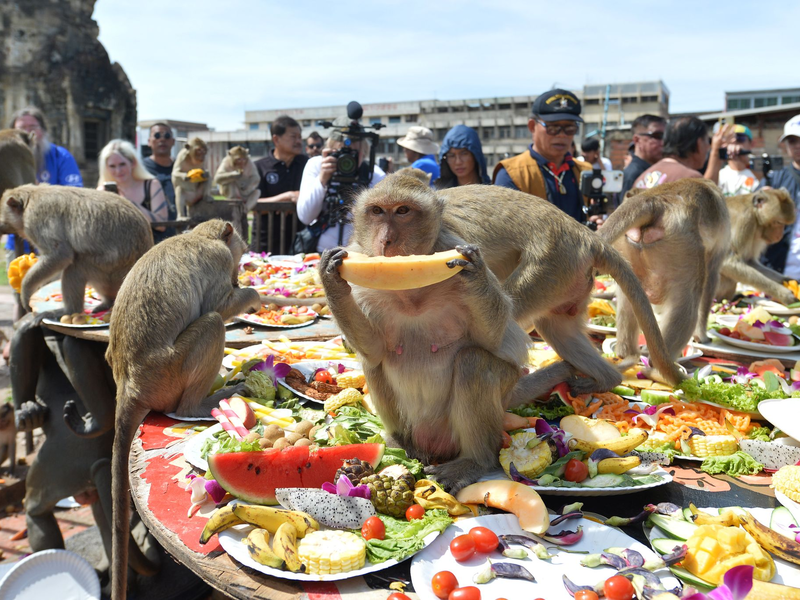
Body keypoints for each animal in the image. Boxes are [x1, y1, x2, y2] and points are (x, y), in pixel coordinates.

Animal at [0, 184, 154, 316]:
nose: (1, 228)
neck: (31, 197)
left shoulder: (35, 219)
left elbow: (60, 255)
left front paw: (25, 290)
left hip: (112, 270)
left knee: (77, 266)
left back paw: (69, 311)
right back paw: (108, 302)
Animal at [101, 219, 260, 600]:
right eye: (238, 258)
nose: (239, 275)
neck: (197, 235)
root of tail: (128, 385)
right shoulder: (218, 261)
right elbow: (221, 304)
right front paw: (253, 295)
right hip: (170, 375)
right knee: (214, 321)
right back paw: (200, 403)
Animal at [319, 170, 683, 492]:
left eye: (403, 211)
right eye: (377, 211)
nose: (387, 240)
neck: (411, 290)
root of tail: (585, 233)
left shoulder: (452, 244)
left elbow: (496, 342)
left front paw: (475, 273)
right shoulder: (364, 271)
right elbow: (374, 348)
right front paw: (330, 278)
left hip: (550, 266)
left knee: (475, 363)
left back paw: (475, 461)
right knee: (376, 364)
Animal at [598, 179, 731, 362]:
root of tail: (653, 200)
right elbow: (711, 278)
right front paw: (702, 336)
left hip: (628, 247)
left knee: (629, 299)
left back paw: (627, 353)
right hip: (683, 246)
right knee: (688, 302)